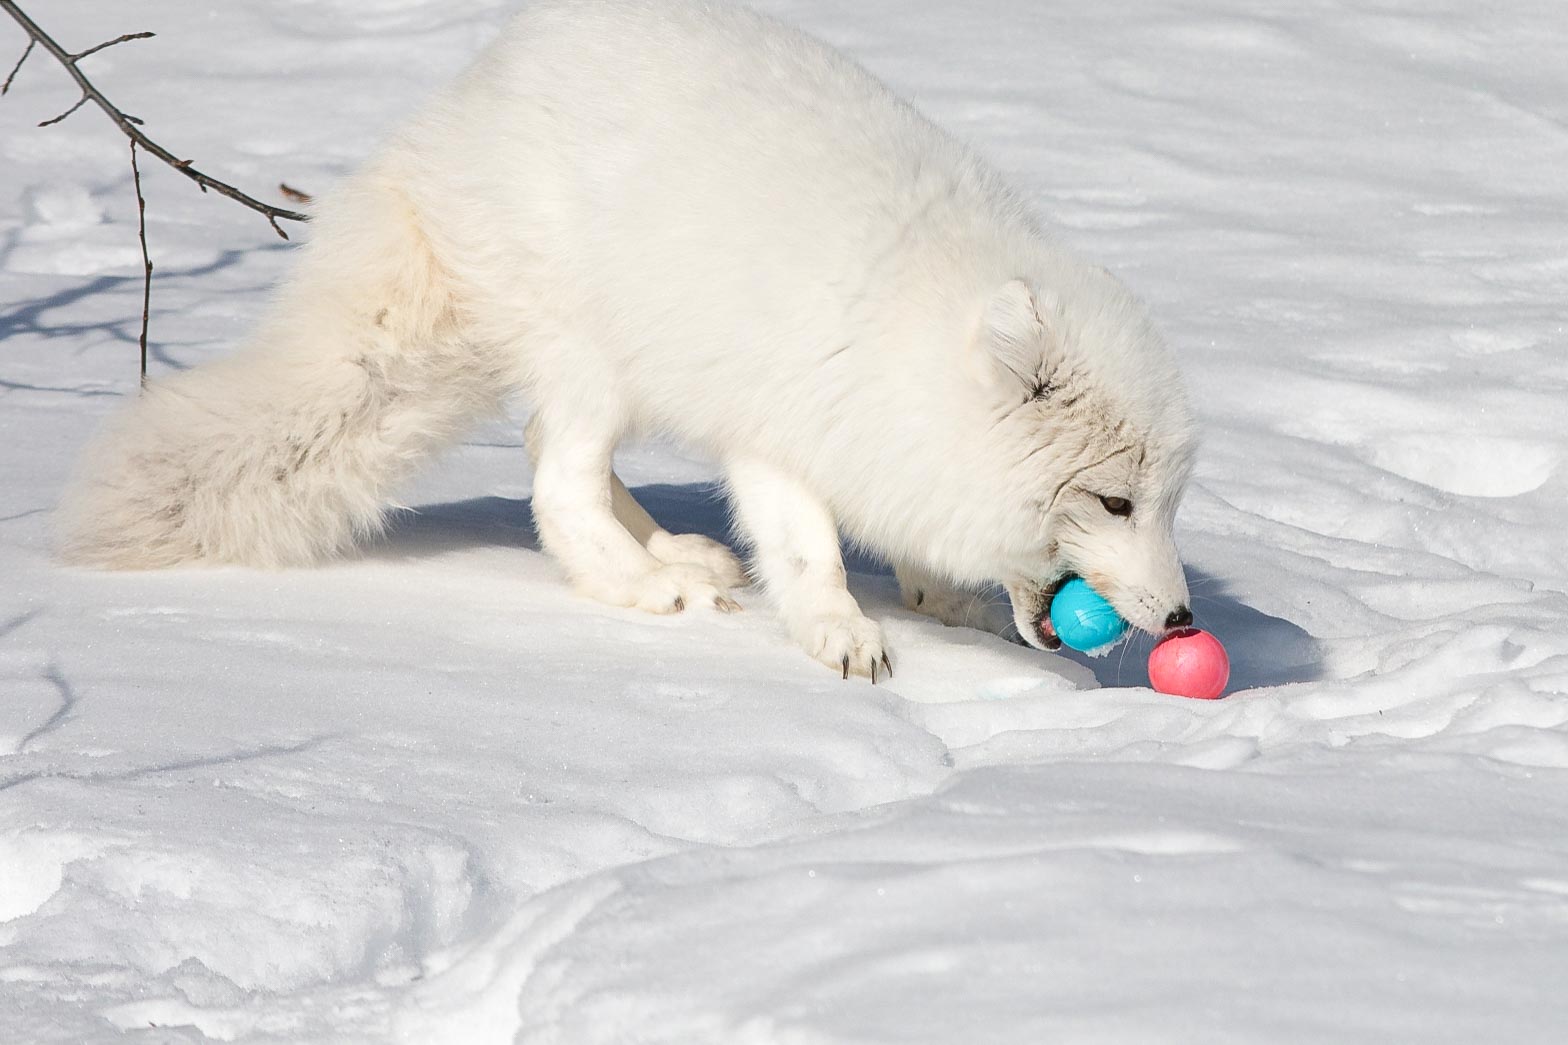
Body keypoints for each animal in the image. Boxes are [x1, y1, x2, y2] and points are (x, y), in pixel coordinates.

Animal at [58, 0, 1197, 674]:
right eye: (1113, 502)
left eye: (1164, 505)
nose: (1185, 621)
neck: (906, 323)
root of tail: (437, 134)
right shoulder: (777, 427)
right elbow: (809, 547)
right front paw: (841, 633)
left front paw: (937, 598)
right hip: (592, 355)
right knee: (554, 482)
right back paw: (651, 584)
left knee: (550, 457)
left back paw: (676, 552)